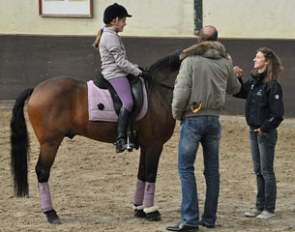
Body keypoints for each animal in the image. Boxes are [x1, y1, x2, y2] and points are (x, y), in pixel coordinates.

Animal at [9, 49, 183, 224]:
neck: (157, 92)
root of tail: (35, 89)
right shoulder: (155, 145)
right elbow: (151, 175)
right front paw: (152, 212)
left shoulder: (146, 145)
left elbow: (142, 174)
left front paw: (139, 209)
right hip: (50, 143)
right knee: (42, 171)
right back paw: (51, 214)